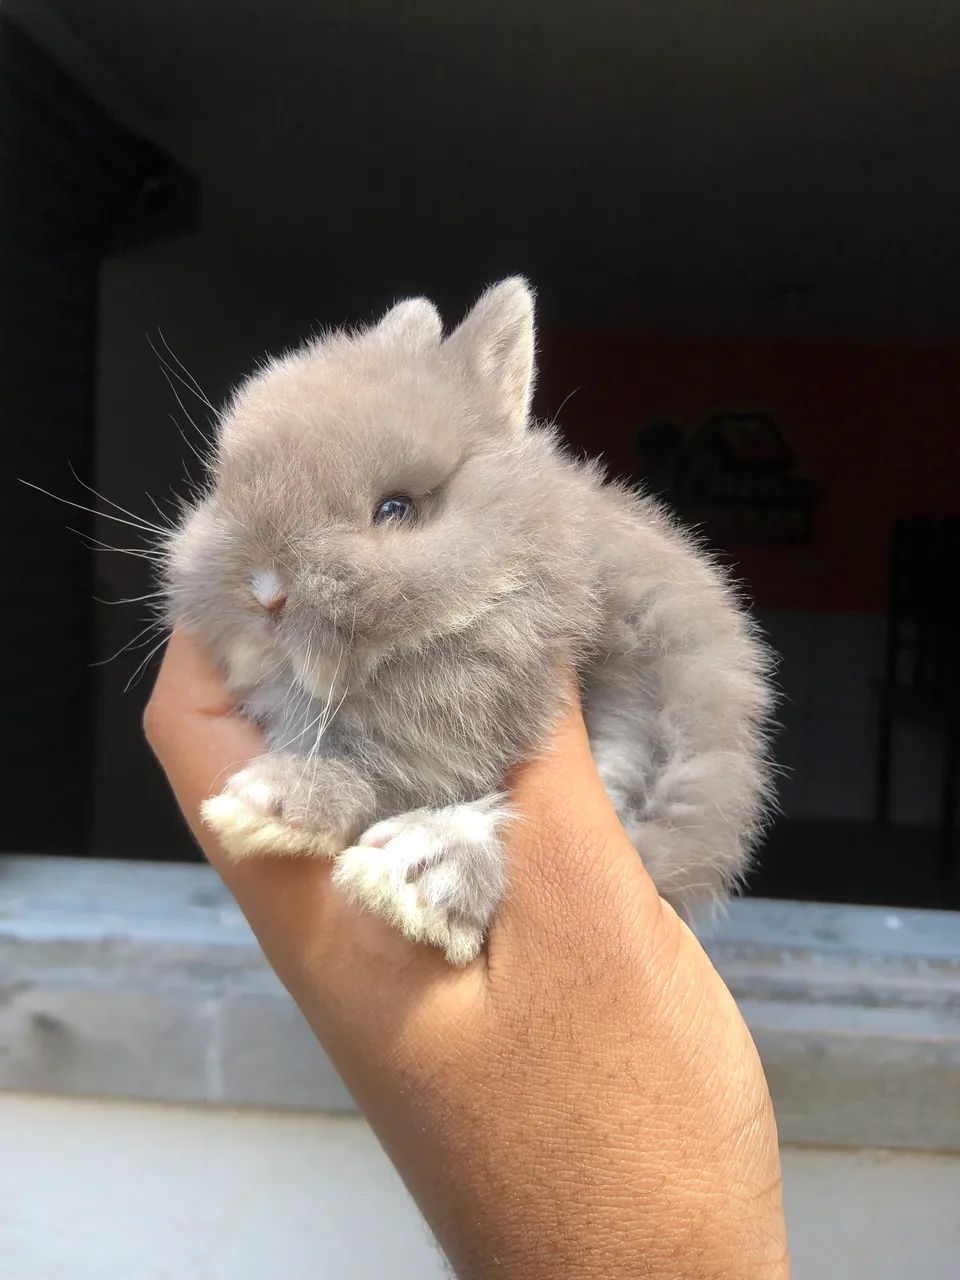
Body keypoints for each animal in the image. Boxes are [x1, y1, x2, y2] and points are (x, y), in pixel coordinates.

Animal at [162, 278, 774, 964]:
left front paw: (282, 807)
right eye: (225, 488)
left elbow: (410, 776)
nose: (266, 592)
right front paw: (273, 805)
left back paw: (420, 875)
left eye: (395, 509)